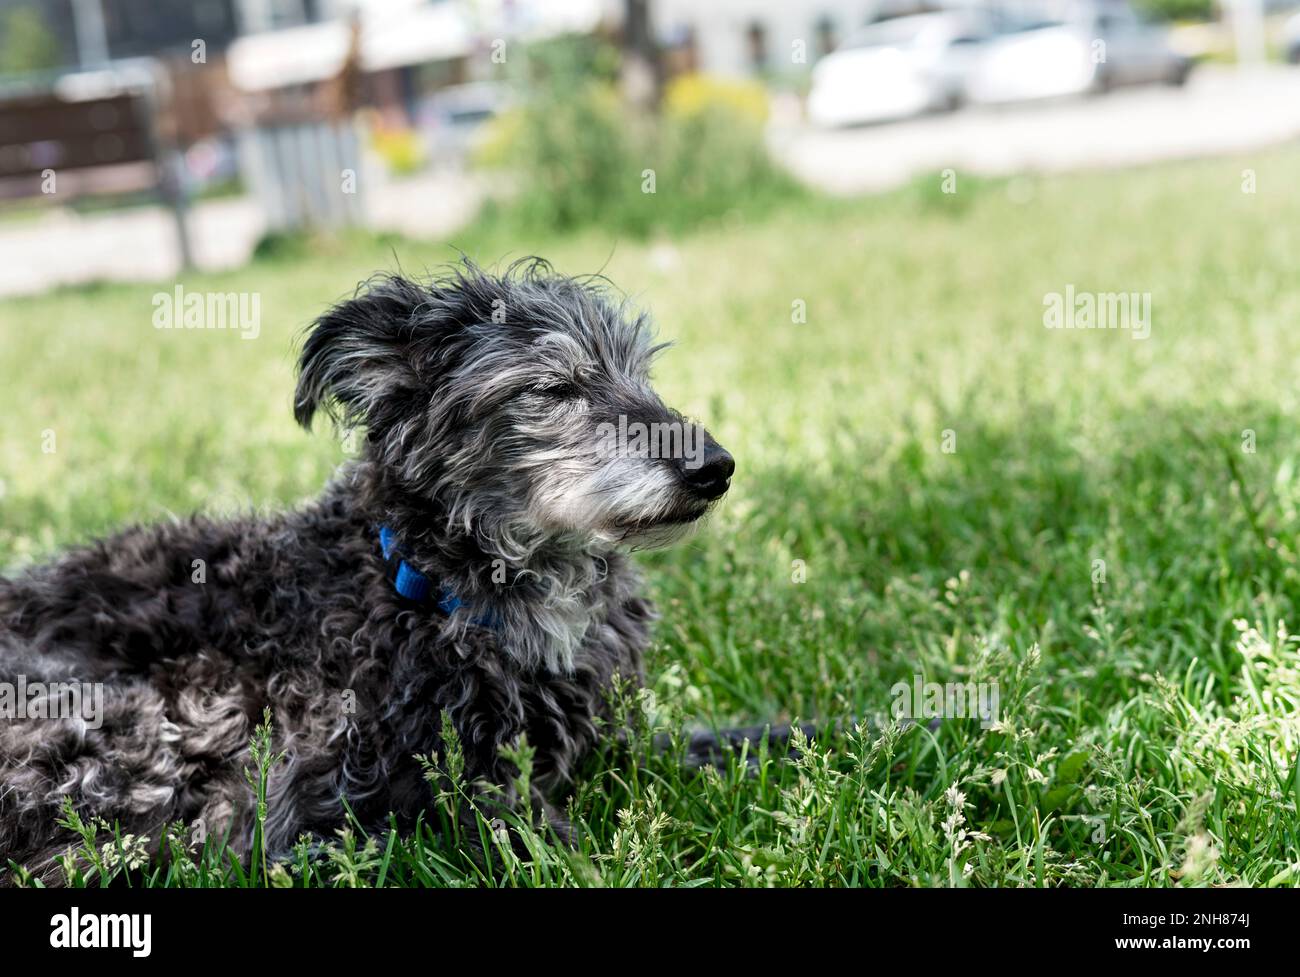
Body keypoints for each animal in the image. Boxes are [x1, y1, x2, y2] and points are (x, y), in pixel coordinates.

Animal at [0, 259, 733, 883]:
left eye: (643, 373)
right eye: (552, 387)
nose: (717, 467)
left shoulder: (615, 742)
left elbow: (716, 744)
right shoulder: (442, 788)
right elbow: (535, 836)